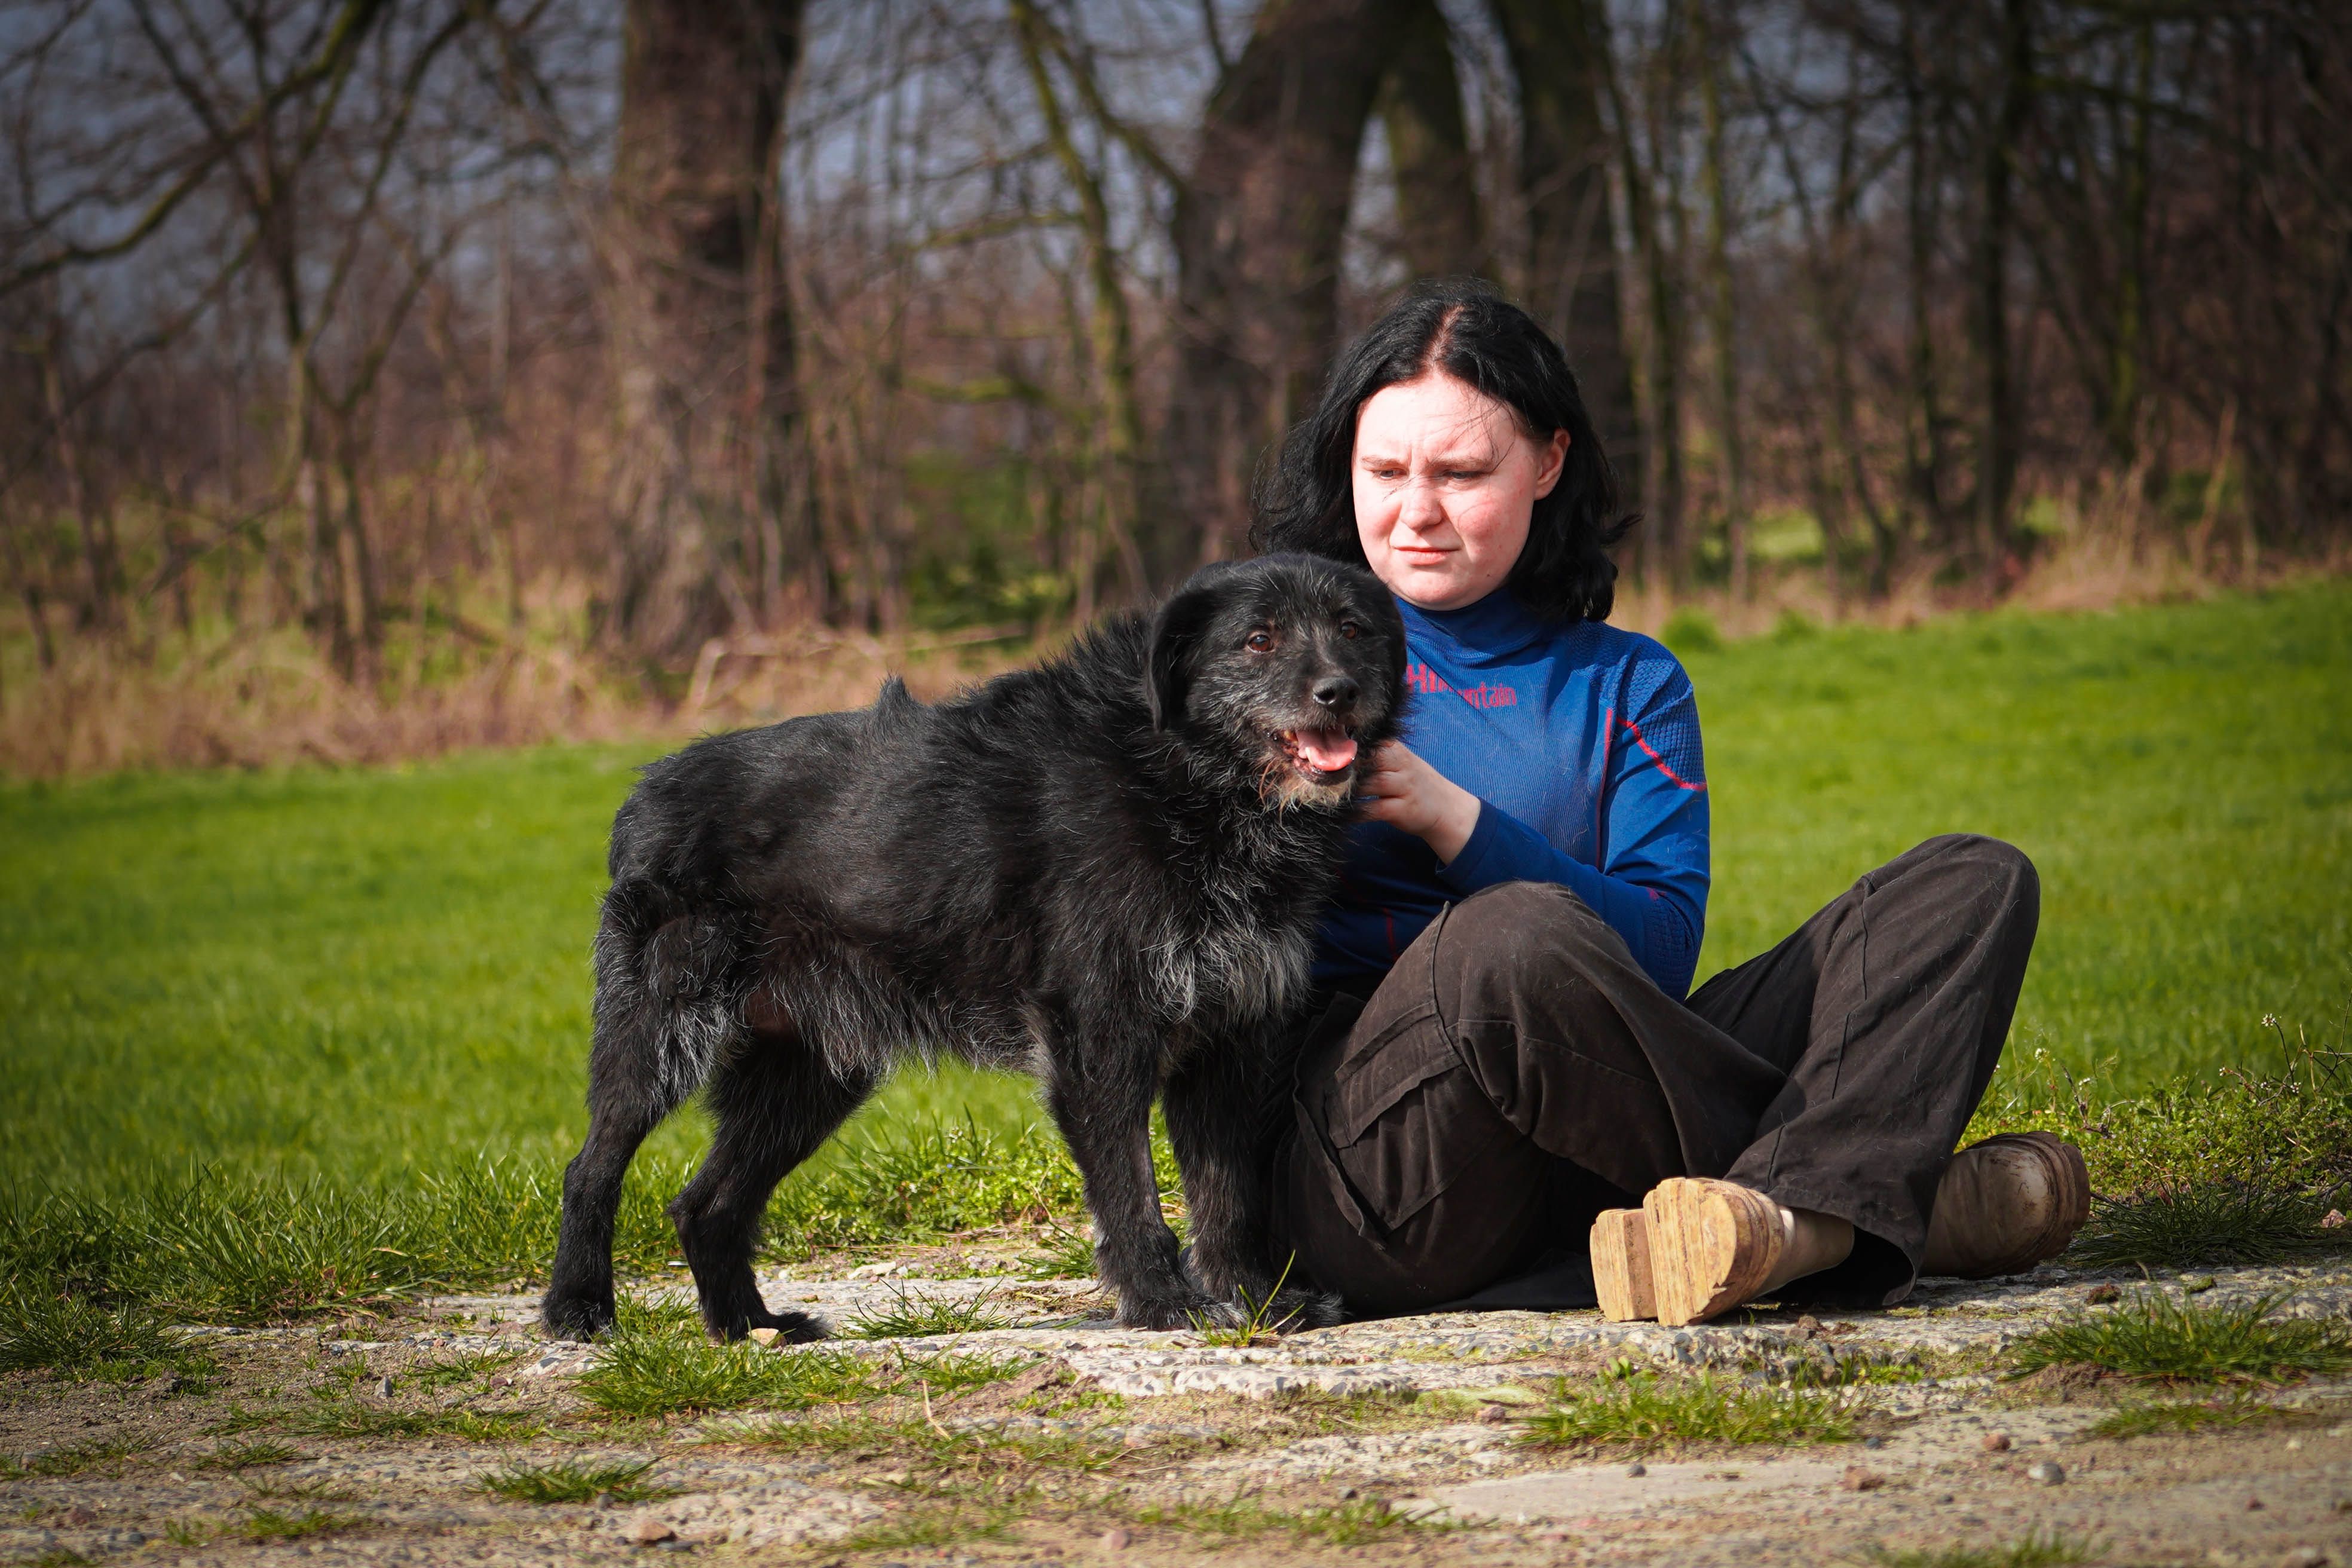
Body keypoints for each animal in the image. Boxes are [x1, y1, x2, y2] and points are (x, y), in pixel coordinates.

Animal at [541, 552, 1401, 1335]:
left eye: (1353, 630)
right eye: (1258, 639)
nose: (1338, 692)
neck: (1184, 777)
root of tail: (643, 793)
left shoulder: (1224, 1042)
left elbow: (1228, 1199)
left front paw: (1255, 1301)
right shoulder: (1100, 1038)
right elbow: (1132, 1192)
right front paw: (1163, 1304)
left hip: (808, 1077)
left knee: (705, 1204)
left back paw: (750, 1327)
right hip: (660, 1034)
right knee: (591, 1167)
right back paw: (578, 1307)